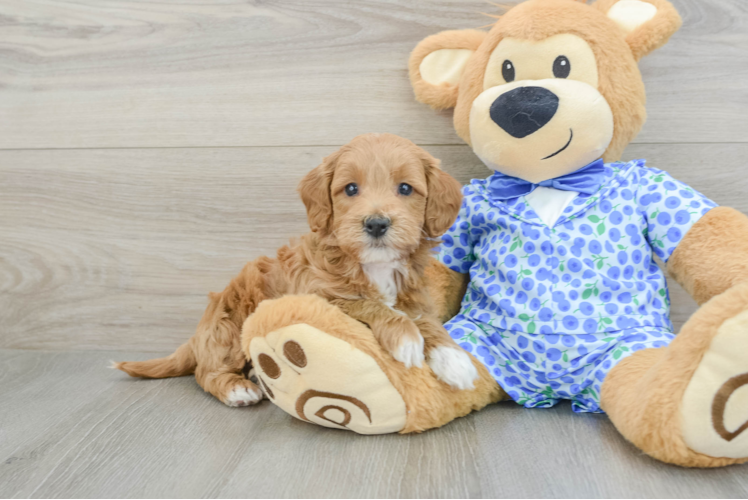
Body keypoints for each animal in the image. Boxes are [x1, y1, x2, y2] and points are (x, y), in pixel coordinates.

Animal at [117, 133, 480, 406]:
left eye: (405, 188)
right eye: (351, 188)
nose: (376, 224)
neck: (373, 266)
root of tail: (198, 333)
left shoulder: (413, 297)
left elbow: (427, 321)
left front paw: (454, 358)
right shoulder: (320, 295)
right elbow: (370, 304)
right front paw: (405, 337)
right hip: (230, 323)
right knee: (204, 372)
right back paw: (238, 388)